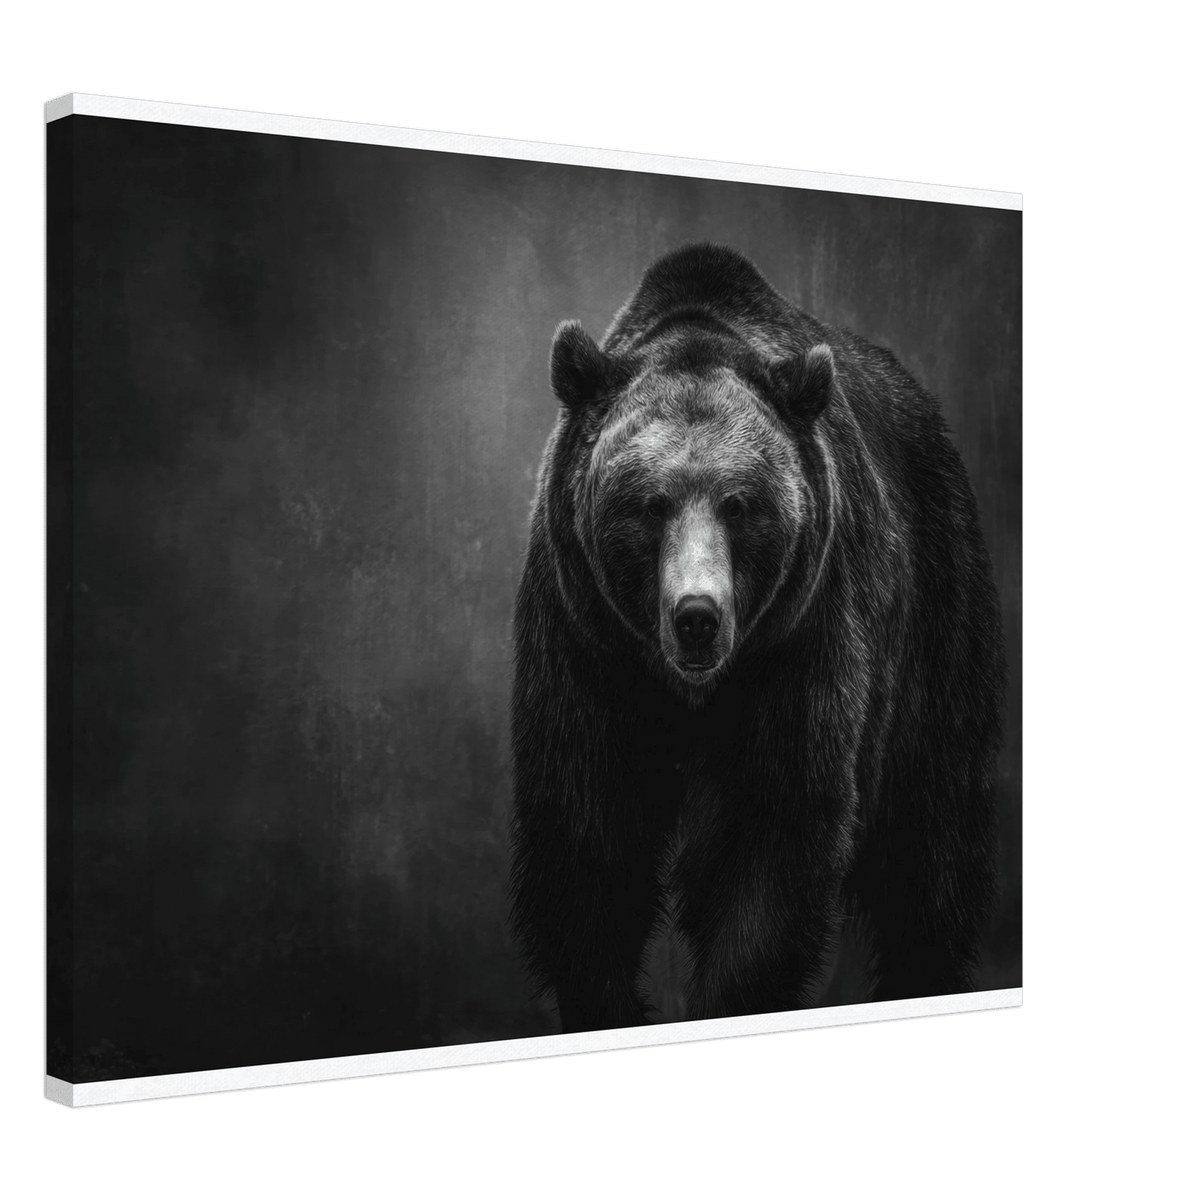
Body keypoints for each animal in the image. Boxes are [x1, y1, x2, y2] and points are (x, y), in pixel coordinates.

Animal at [508, 243, 1004, 1034]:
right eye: (650, 504)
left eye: (740, 505)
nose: (696, 615)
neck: (691, 690)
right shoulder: (586, 640)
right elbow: (587, 832)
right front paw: (608, 1001)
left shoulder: (801, 638)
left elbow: (773, 835)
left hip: (939, 611)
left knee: (933, 840)